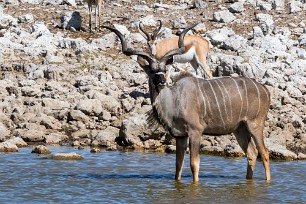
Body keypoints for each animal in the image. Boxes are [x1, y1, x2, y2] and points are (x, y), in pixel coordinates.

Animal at [103, 23, 270, 182]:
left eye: (165, 70)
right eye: (151, 71)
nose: (162, 81)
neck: (175, 99)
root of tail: (264, 90)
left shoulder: (195, 131)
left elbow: (194, 164)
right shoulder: (180, 136)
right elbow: (178, 165)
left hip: (255, 125)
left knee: (264, 153)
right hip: (239, 129)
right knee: (252, 154)